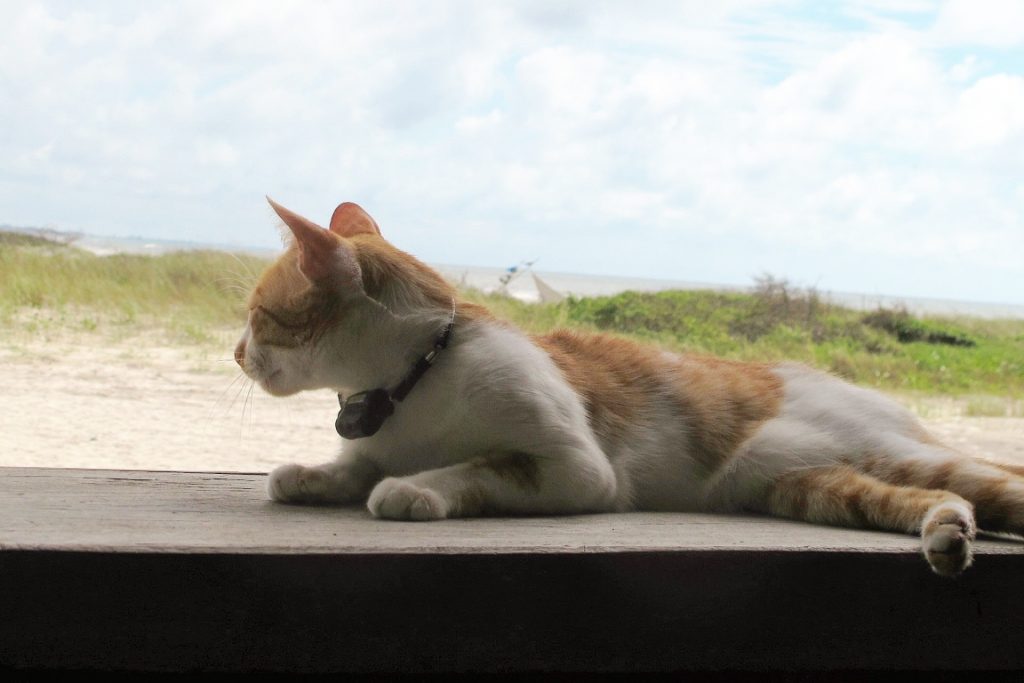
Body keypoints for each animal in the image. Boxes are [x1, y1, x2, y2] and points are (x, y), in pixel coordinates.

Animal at [235, 198, 1024, 577]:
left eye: (258, 316)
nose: (238, 352)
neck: (415, 380)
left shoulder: (575, 468)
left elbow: (474, 466)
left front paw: (413, 488)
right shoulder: (374, 436)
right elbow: (352, 464)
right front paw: (308, 474)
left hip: (898, 454)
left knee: (989, 482)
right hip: (805, 486)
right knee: (934, 500)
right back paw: (946, 536)